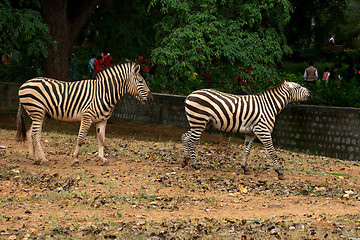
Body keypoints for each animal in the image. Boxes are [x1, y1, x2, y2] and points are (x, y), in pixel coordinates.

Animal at [16, 60, 153, 167]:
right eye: (140, 81)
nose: (151, 99)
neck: (103, 93)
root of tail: (24, 84)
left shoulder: (102, 120)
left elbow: (102, 140)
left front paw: (102, 159)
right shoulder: (87, 116)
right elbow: (81, 138)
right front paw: (75, 159)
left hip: (39, 114)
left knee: (30, 133)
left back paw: (35, 158)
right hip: (37, 112)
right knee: (36, 135)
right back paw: (43, 159)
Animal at [181, 79, 310, 179]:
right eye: (298, 87)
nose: (310, 93)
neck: (269, 106)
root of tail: (190, 95)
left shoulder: (251, 133)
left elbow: (247, 150)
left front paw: (244, 168)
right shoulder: (263, 131)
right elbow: (272, 152)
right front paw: (279, 172)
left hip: (201, 123)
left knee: (185, 136)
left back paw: (185, 160)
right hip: (199, 121)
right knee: (192, 141)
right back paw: (194, 164)